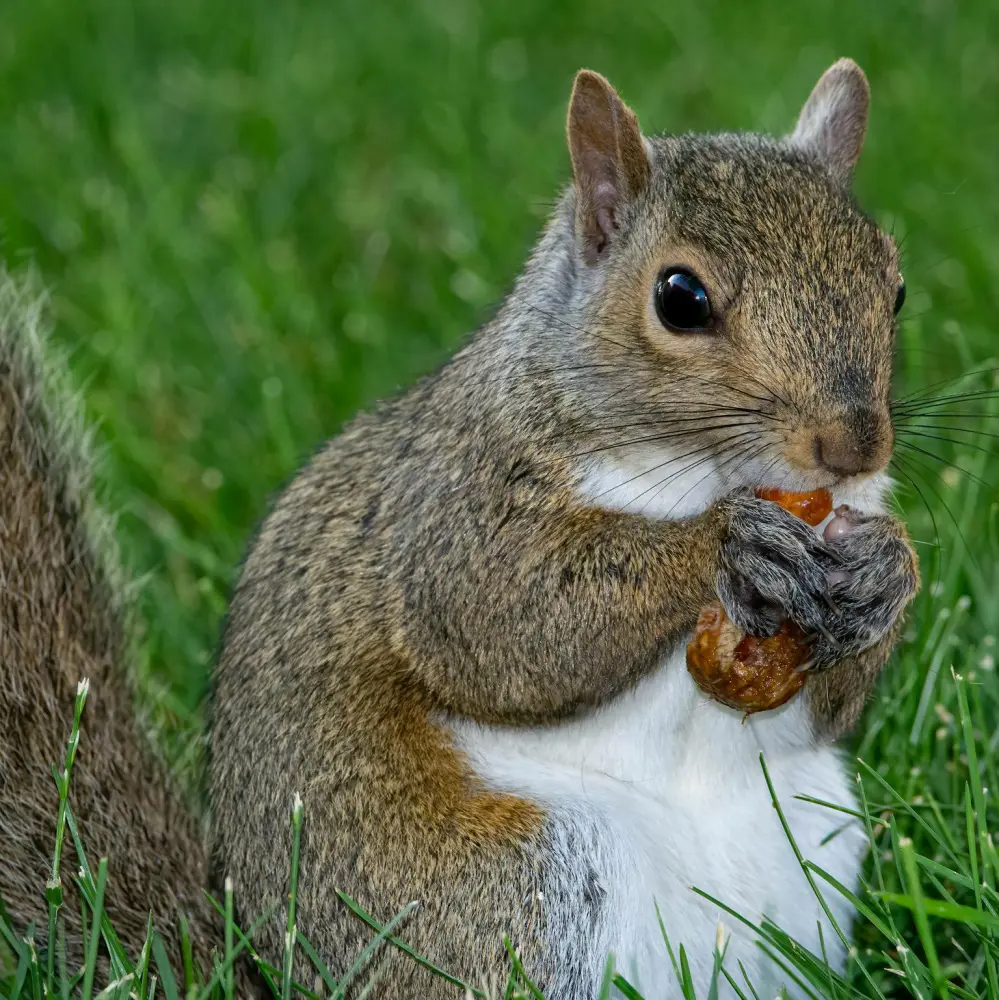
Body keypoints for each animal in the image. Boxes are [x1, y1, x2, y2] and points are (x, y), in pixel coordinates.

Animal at [1, 59, 919, 998]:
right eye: (680, 298)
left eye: (893, 287)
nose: (854, 445)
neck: (690, 471)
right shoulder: (451, 510)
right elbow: (504, 623)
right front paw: (727, 544)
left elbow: (825, 706)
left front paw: (886, 572)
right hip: (512, 887)